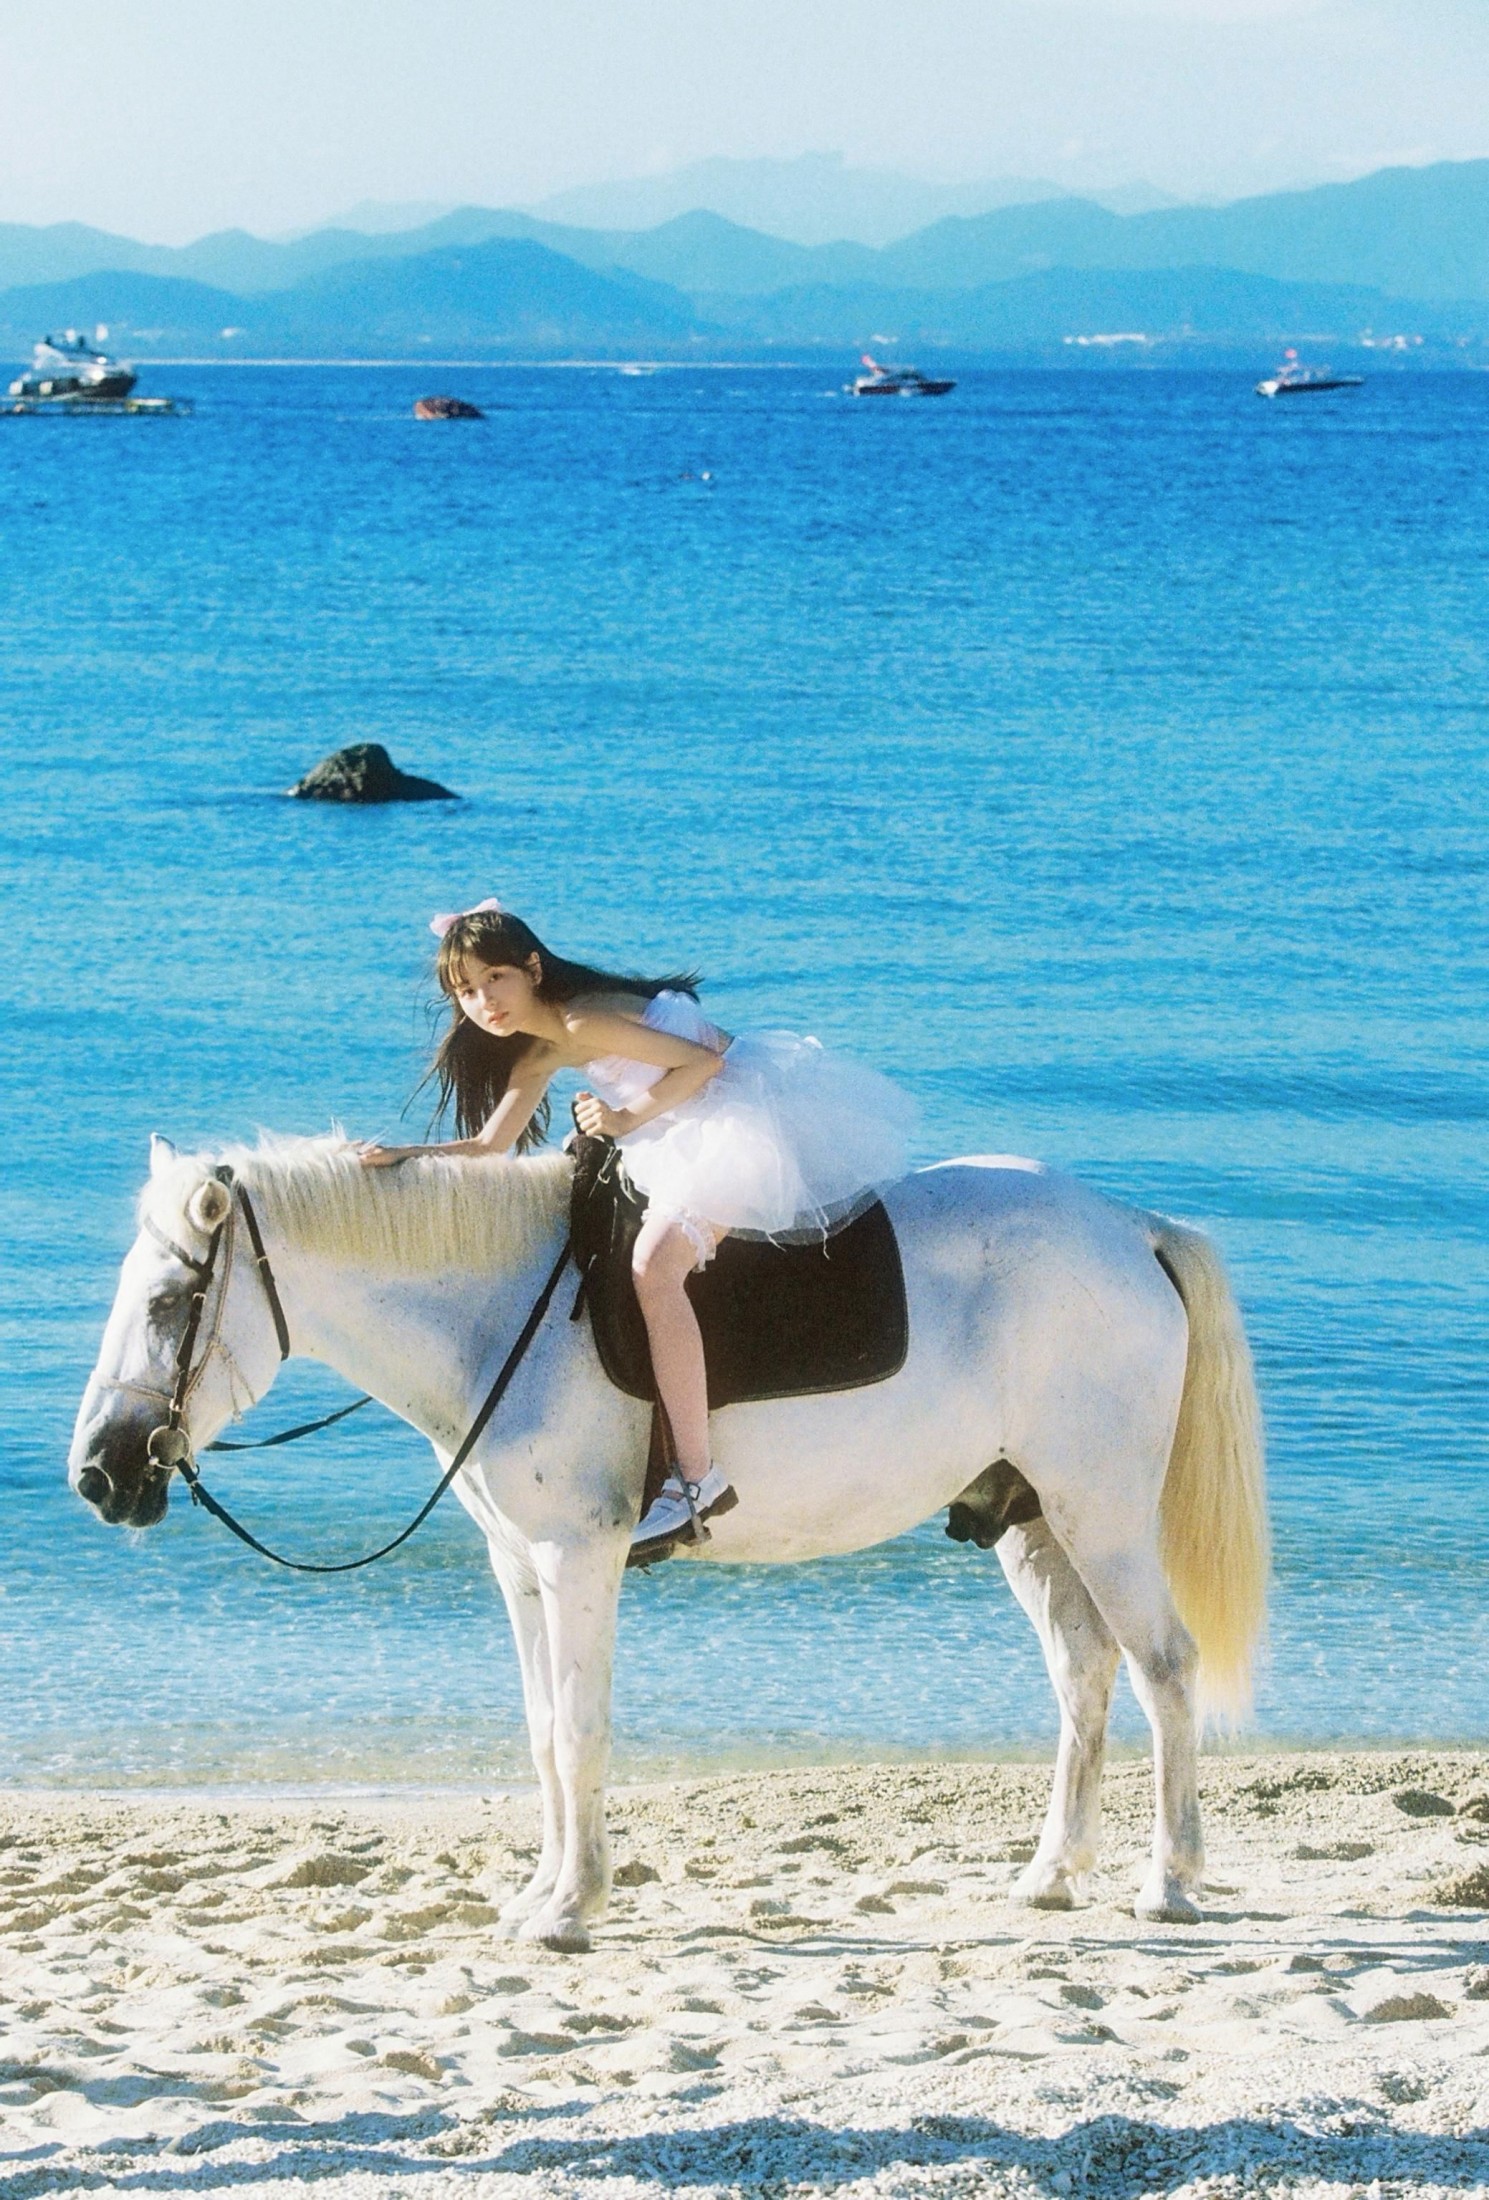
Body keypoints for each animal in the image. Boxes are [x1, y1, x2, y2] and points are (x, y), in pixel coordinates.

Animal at [70, 1132, 1267, 1951]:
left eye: (172, 1301)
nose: (98, 1473)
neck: (504, 1314)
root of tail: (1130, 1228)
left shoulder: (578, 1562)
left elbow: (581, 1735)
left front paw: (571, 1908)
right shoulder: (520, 1570)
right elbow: (543, 1735)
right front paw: (540, 1892)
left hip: (1100, 1510)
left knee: (1164, 1668)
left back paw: (1169, 1881)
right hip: (1034, 1519)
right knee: (1083, 1675)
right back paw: (1053, 1873)